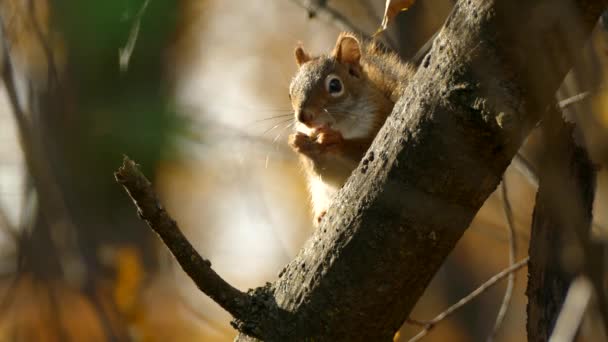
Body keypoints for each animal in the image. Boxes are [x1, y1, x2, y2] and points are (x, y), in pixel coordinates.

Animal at [288, 31, 416, 224]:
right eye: (291, 92)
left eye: (335, 85)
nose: (303, 117)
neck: (341, 125)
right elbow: (325, 171)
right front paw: (298, 143)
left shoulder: (381, 118)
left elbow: (363, 150)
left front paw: (334, 140)